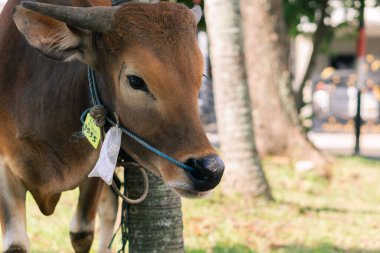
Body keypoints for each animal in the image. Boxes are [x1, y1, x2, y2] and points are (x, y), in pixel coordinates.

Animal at [0, 0, 224, 252]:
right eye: (135, 81)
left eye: (200, 76)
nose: (211, 170)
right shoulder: (4, 166)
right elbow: (16, 244)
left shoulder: (97, 167)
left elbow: (82, 231)